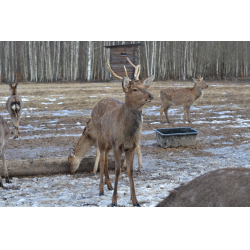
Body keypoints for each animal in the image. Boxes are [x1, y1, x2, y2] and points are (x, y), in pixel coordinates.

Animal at [90, 57, 154, 206]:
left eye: (145, 86)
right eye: (135, 89)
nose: (151, 95)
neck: (128, 134)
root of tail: (94, 107)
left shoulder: (132, 146)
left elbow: (130, 170)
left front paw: (135, 200)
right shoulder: (118, 144)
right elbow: (118, 170)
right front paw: (114, 200)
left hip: (109, 142)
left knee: (105, 158)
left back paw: (108, 185)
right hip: (101, 138)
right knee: (102, 158)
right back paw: (101, 189)